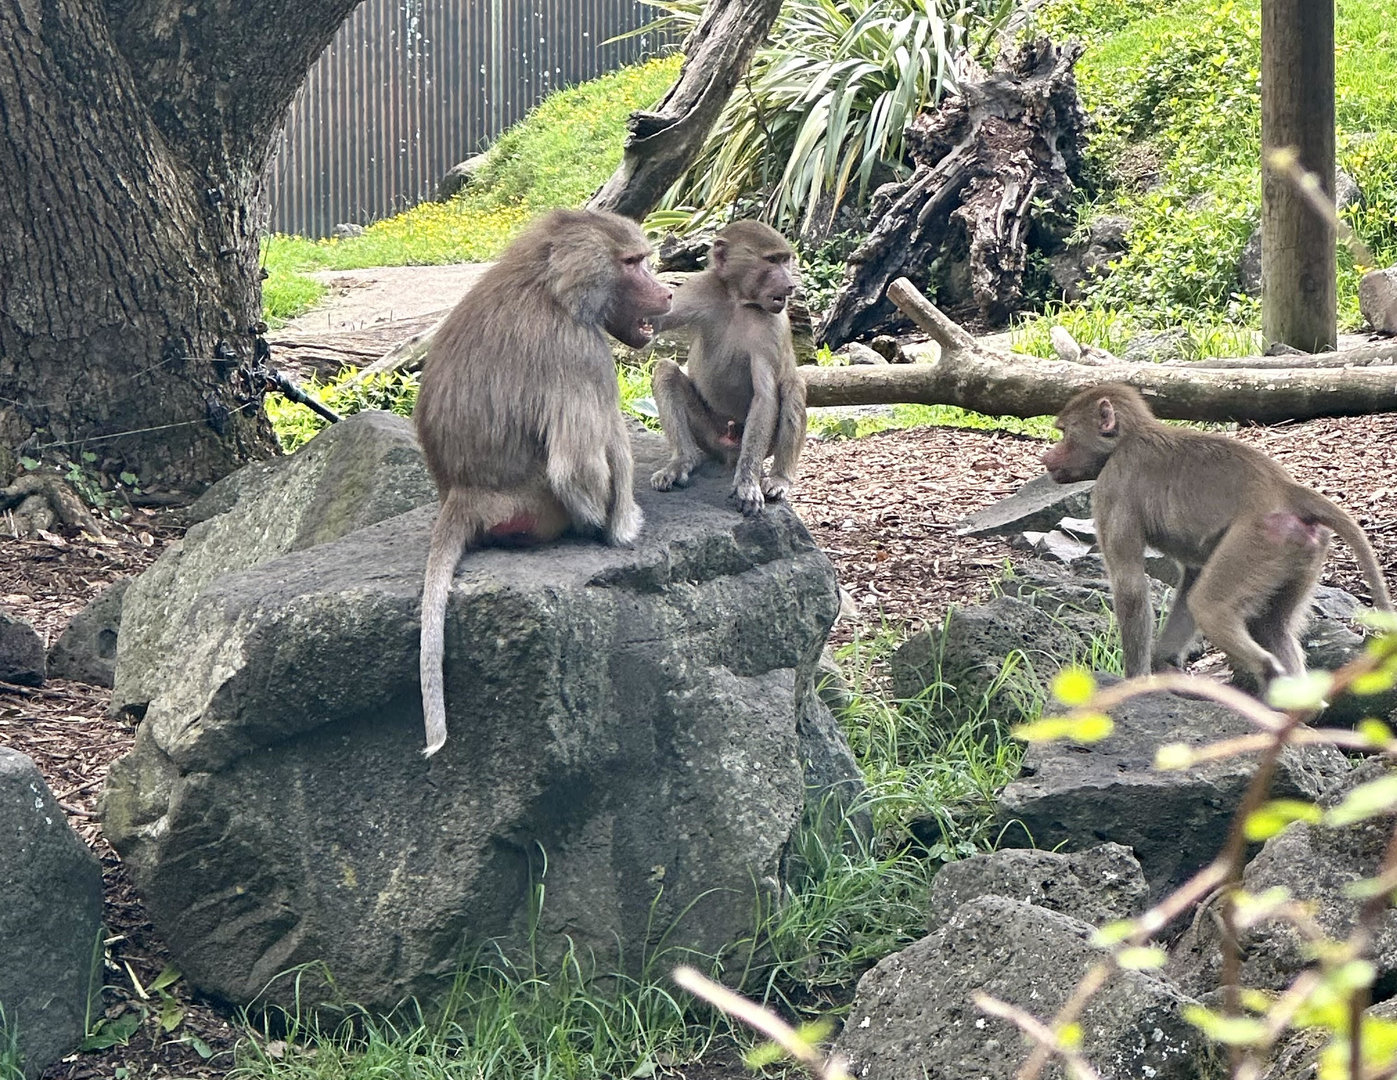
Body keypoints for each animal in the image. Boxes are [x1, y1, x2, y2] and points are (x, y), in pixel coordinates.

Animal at [413, 208, 672, 757]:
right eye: (632, 263)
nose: (667, 294)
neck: (548, 284)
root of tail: (464, 493)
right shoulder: (580, 349)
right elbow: (577, 466)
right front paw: (613, 528)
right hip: (534, 507)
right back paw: (621, 521)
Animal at [648, 219, 806, 515]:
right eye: (772, 260)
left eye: (785, 260)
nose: (790, 286)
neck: (738, 300)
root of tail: (730, 449)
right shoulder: (700, 287)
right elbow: (653, 323)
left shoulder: (772, 326)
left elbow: (765, 396)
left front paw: (747, 483)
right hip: (708, 433)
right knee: (665, 370)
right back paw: (683, 461)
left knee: (793, 386)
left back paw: (779, 477)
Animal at [1042, 382, 1393, 689]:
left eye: (1064, 433)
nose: (1047, 458)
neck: (1127, 439)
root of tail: (1285, 490)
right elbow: (1194, 573)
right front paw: (1165, 660)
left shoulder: (1112, 486)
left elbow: (1131, 589)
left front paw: (1135, 681)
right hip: (1301, 548)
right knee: (1270, 627)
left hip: (1261, 540)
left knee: (1210, 608)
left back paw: (1268, 670)